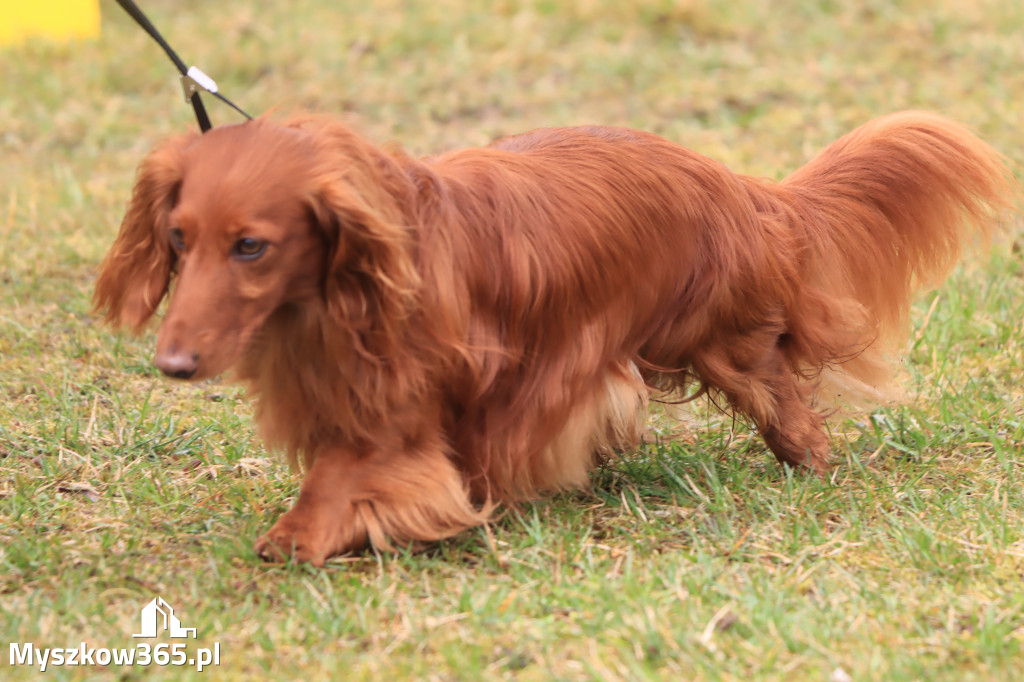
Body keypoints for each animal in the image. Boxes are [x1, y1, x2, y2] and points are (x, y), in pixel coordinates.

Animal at [96, 112, 1015, 561]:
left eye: (251, 245)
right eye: (178, 238)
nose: (172, 364)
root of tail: (741, 188)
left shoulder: (408, 404)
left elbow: (346, 471)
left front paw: (301, 535)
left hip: (720, 338)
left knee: (782, 392)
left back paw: (809, 461)